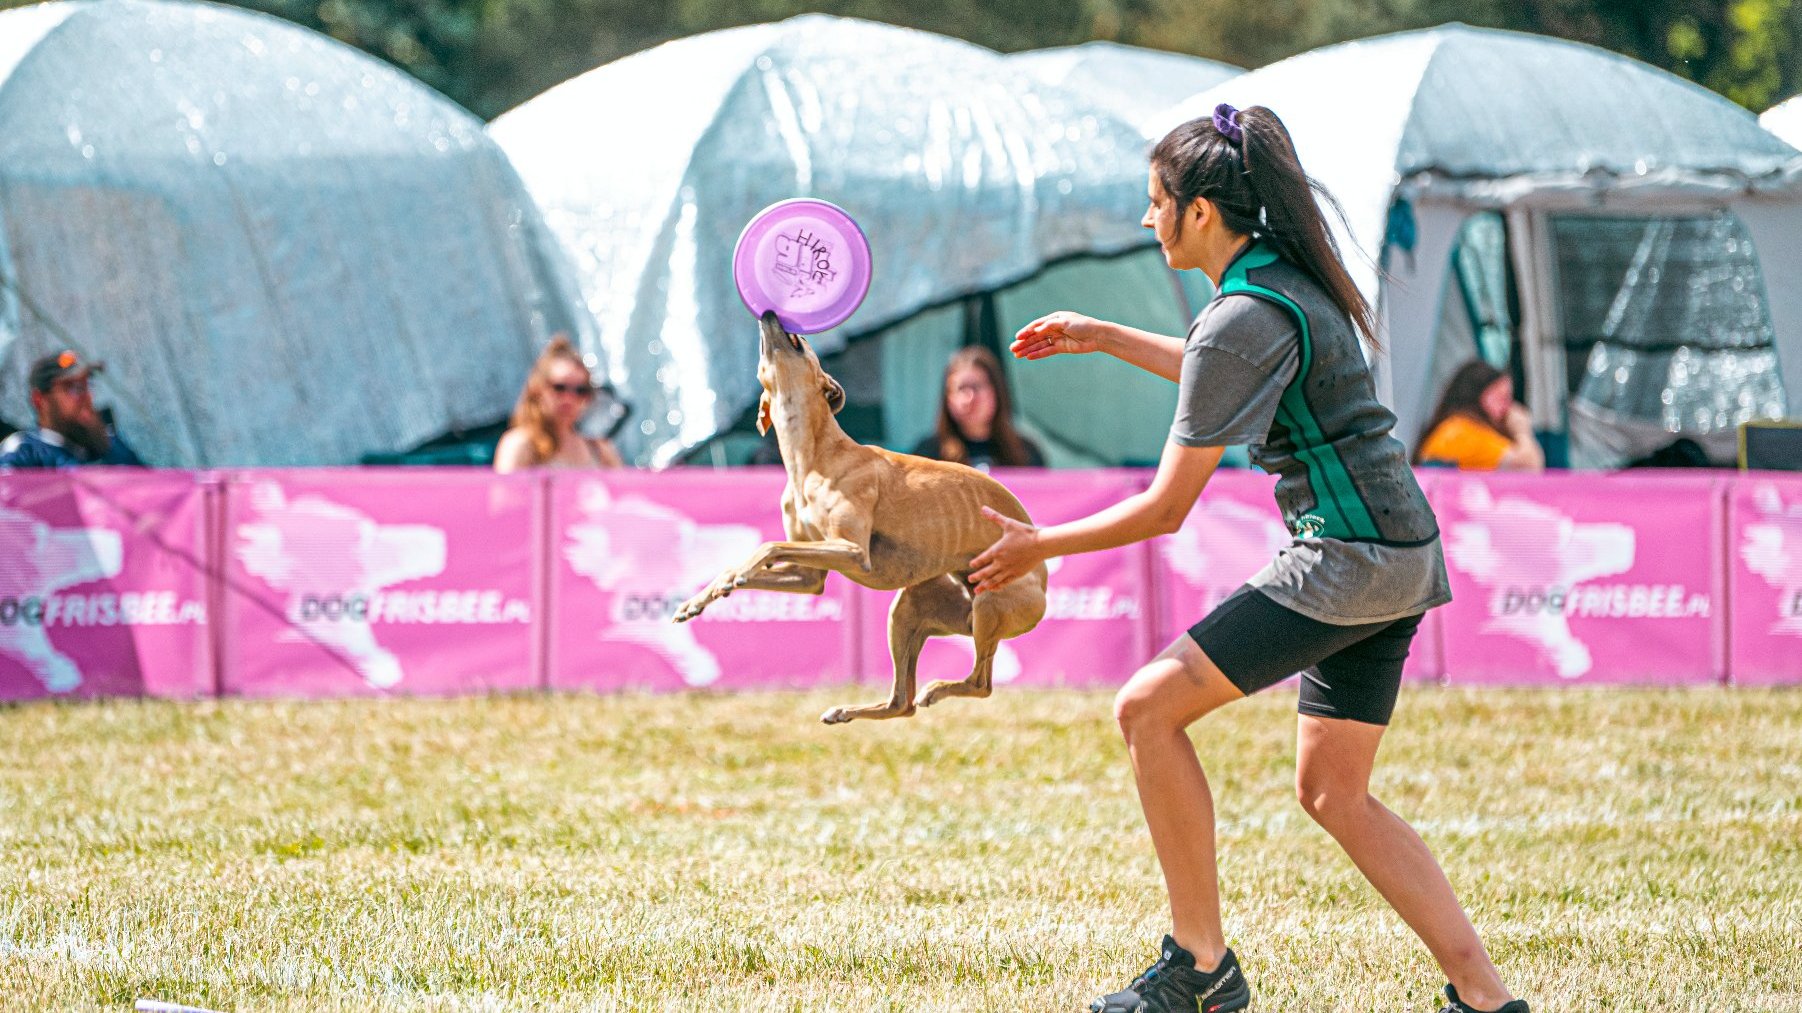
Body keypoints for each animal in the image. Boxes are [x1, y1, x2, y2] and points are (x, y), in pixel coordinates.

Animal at [673, 311, 1045, 720]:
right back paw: (848, 711)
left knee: (979, 684)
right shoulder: (809, 576)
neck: (813, 458)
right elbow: (776, 563)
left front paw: (735, 575)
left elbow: (769, 546)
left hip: (989, 604)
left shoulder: (851, 551)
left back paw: (935, 690)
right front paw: (698, 600)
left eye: (801, 340)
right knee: (902, 703)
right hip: (911, 611)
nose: (769, 314)